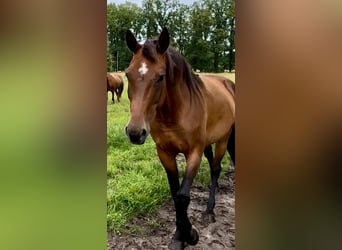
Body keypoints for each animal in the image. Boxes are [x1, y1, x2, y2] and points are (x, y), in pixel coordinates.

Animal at [125, 27, 235, 250]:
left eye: (160, 77)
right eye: (127, 74)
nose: (135, 132)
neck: (175, 113)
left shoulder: (193, 152)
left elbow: (183, 196)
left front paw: (190, 235)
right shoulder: (165, 153)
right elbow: (175, 192)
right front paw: (178, 236)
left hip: (223, 139)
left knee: (216, 168)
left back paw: (209, 211)